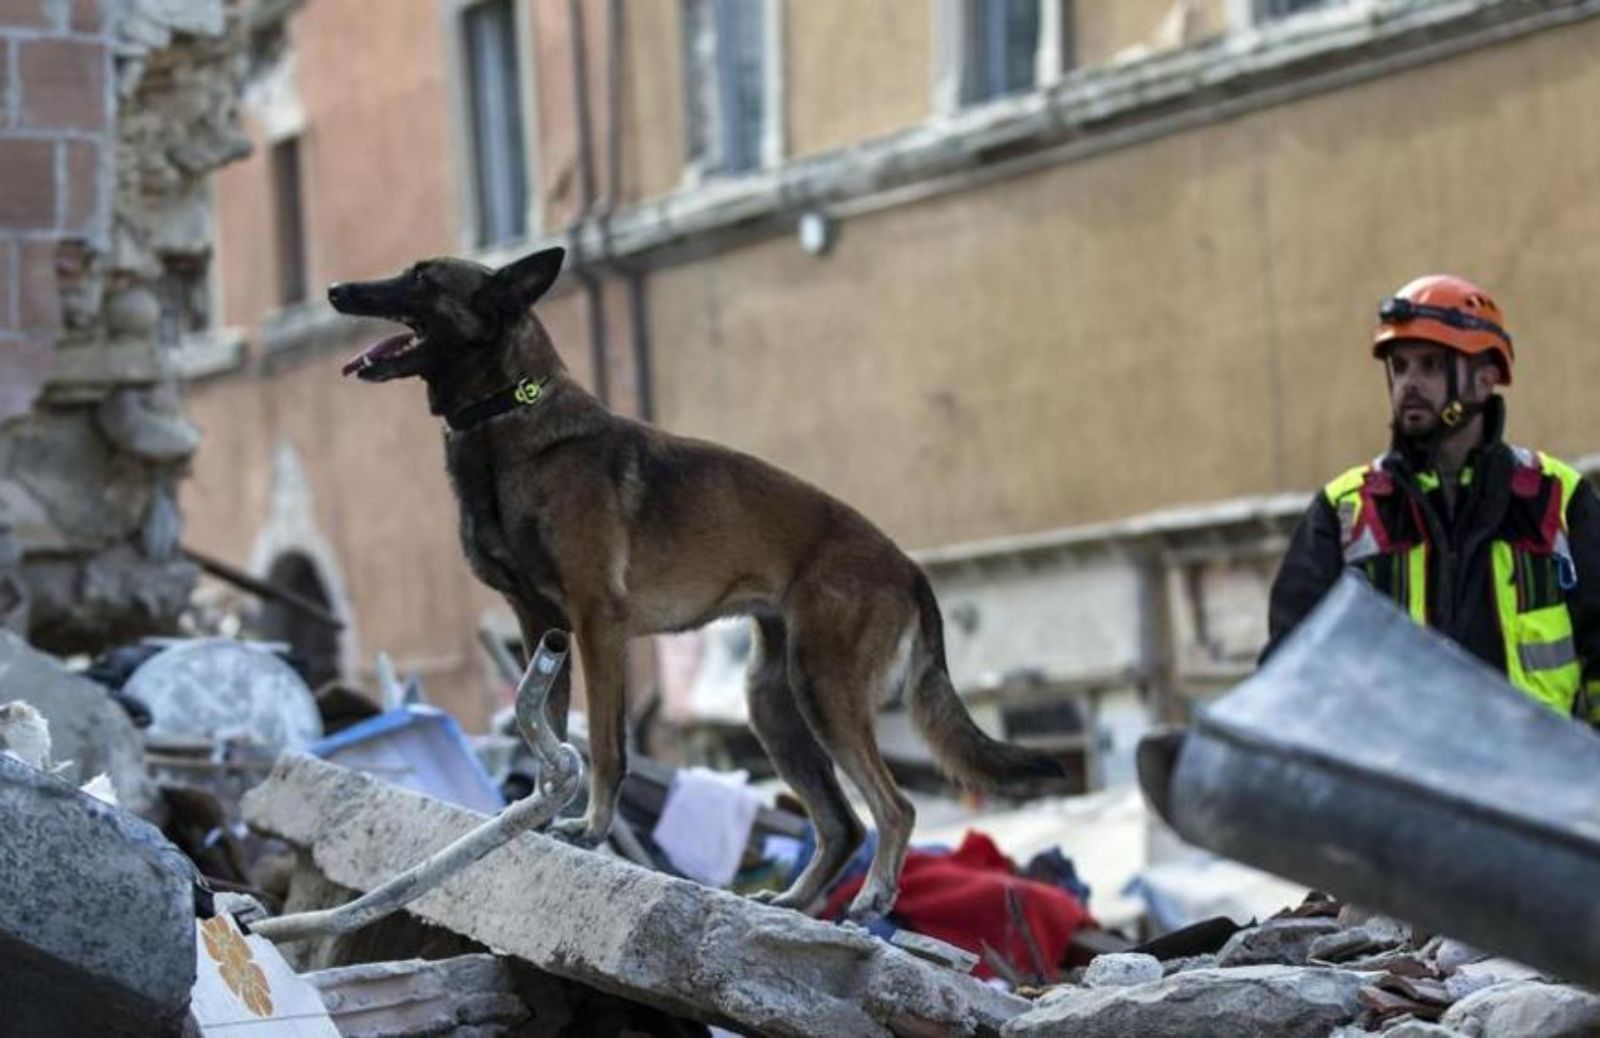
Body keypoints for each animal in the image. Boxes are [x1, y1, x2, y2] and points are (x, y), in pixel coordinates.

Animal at [328, 246, 1062, 921]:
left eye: (423, 277)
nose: (336, 290)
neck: (506, 413)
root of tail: (906, 564)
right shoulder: (541, 626)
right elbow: (551, 732)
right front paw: (538, 813)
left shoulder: (596, 624)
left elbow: (604, 745)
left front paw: (591, 828)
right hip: (773, 703)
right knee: (842, 822)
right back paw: (793, 902)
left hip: (822, 690)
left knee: (895, 805)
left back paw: (874, 895)